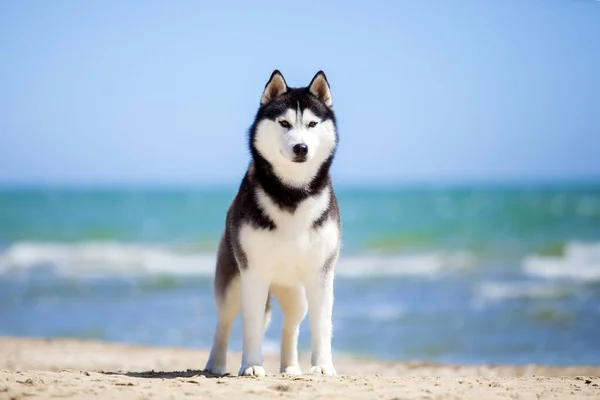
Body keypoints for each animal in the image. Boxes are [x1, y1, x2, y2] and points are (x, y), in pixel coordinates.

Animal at [204, 70, 340, 376]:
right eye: (285, 123)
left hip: (296, 293)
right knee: (224, 322)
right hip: (232, 285)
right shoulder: (253, 273)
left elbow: (322, 325)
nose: (301, 147)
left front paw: (323, 366)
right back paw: (215, 365)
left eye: (312, 124)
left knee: (291, 326)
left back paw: (290, 367)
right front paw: (252, 366)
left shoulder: (322, 274)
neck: (292, 192)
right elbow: (252, 326)